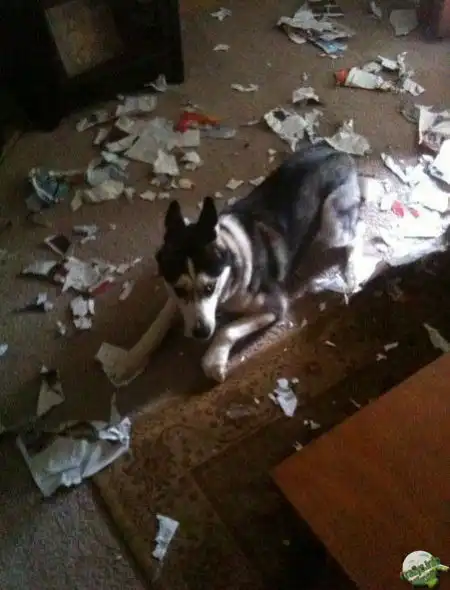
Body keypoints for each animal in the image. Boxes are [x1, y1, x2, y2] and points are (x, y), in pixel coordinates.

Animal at [111, 141, 364, 384]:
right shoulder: (173, 289)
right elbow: (159, 322)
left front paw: (213, 360)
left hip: (332, 224)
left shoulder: (275, 306)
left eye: (210, 287)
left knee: (357, 233)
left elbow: (227, 329)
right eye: (180, 289)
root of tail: (339, 153)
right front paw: (130, 360)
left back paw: (353, 270)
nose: (201, 333)